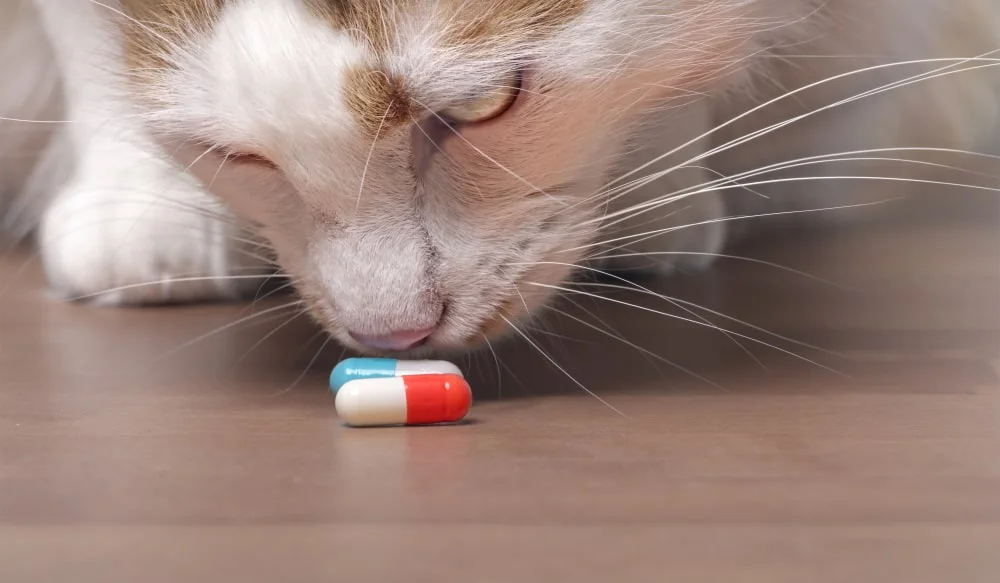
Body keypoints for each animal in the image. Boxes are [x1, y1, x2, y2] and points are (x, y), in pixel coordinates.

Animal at [1, 0, 1000, 356]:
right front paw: (141, 209)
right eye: (239, 157)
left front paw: (650, 192)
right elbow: (90, 48)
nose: (391, 334)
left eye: (486, 104)